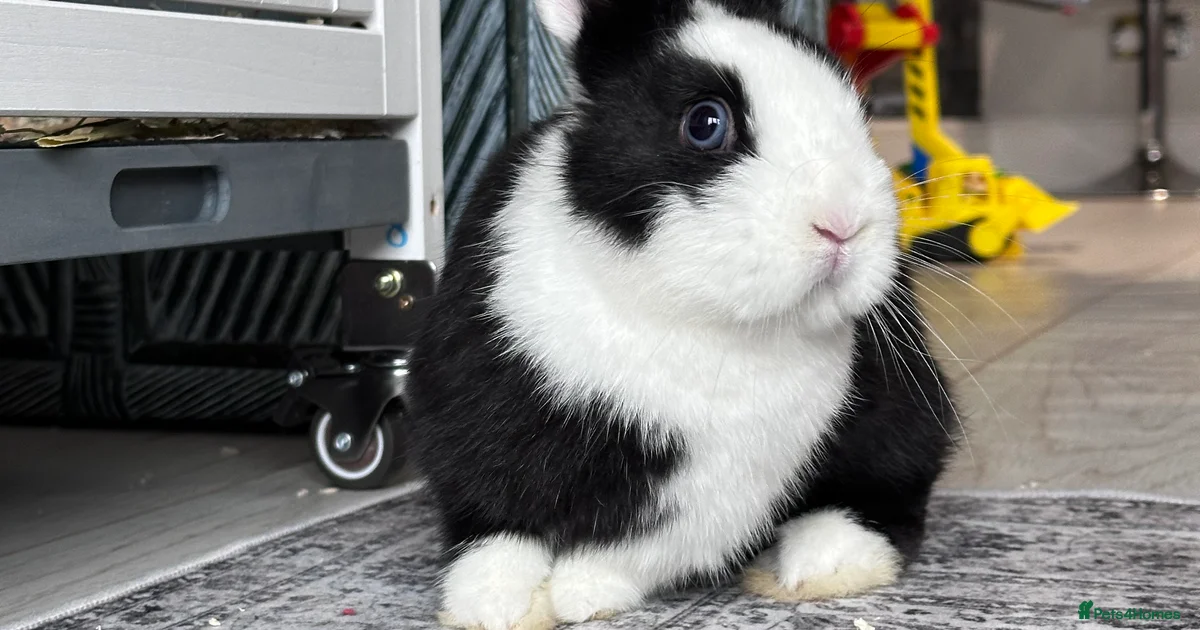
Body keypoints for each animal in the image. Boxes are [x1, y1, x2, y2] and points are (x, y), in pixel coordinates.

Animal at [406, 0, 958, 628]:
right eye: (705, 123)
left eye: (859, 110)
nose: (843, 223)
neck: (682, 306)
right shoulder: (469, 407)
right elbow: (493, 521)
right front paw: (494, 605)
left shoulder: (719, 481)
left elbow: (645, 545)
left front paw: (581, 592)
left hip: (907, 410)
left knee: (894, 490)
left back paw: (817, 563)